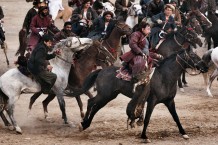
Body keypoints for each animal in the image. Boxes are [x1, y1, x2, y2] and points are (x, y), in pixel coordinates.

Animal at [70, 47, 209, 142]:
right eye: (193, 55)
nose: (205, 66)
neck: (164, 76)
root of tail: (101, 71)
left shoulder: (170, 101)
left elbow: (176, 117)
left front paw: (184, 133)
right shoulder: (152, 101)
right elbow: (147, 119)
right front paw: (144, 136)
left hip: (109, 96)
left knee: (95, 107)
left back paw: (85, 124)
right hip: (104, 95)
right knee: (91, 102)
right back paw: (83, 124)